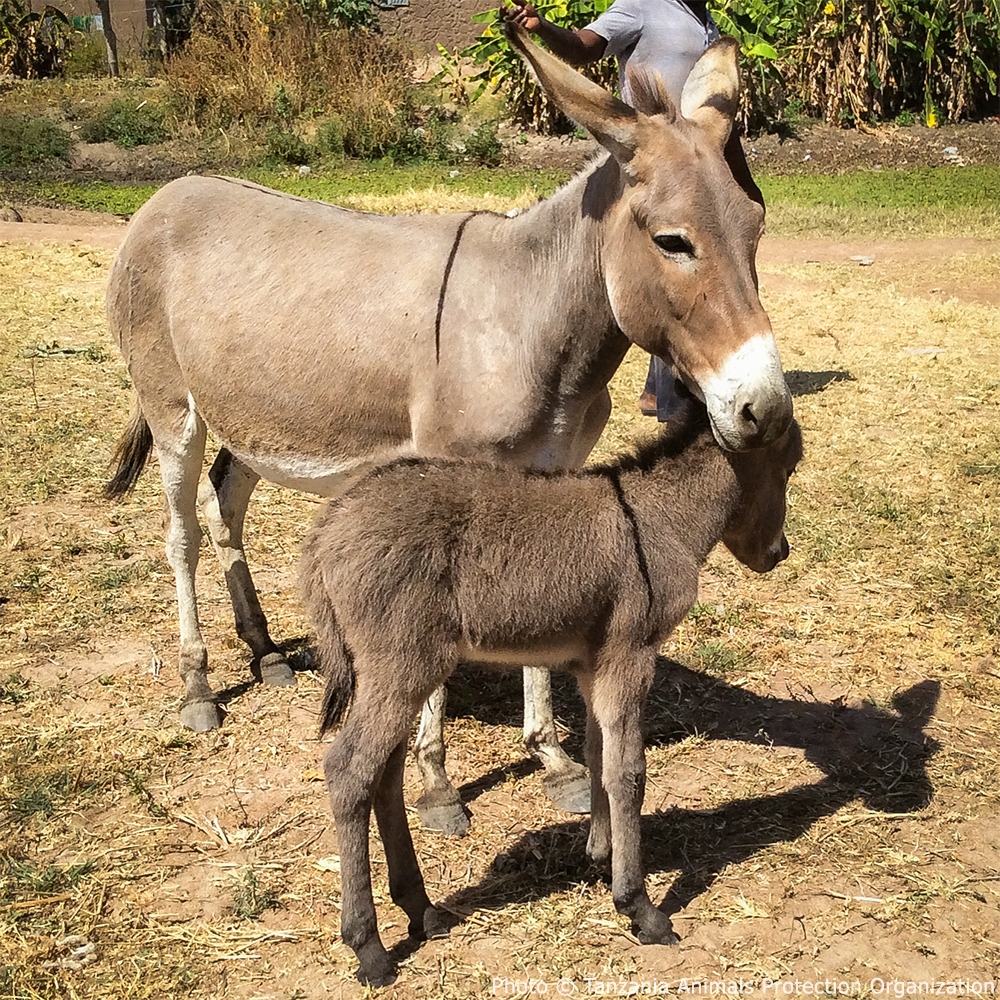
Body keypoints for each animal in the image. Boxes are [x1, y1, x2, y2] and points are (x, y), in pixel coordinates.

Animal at [300, 406, 800, 984]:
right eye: (788, 467)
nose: (779, 553)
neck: (657, 517)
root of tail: (328, 530)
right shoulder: (631, 656)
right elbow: (629, 773)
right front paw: (638, 907)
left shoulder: (592, 665)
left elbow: (598, 754)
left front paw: (601, 856)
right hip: (402, 667)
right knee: (349, 771)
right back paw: (369, 947)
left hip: (397, 673)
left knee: (384, 775)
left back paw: (421, 909)